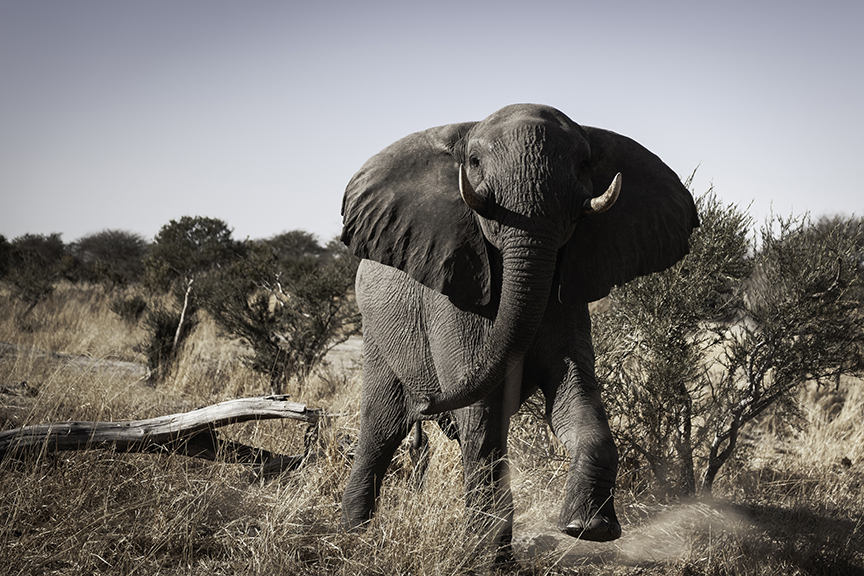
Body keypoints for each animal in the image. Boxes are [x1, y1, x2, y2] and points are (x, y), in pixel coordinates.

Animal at [339, 104, 699, 550]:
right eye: (474, 162)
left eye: (584, 164)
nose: (426, 401)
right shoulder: (454, 297)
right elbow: (481, 415)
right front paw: (486, 557)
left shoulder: (568, 297)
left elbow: (576, 395)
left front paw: (589, 529)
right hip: (377, 332)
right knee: (381, 429)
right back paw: (353, 538)